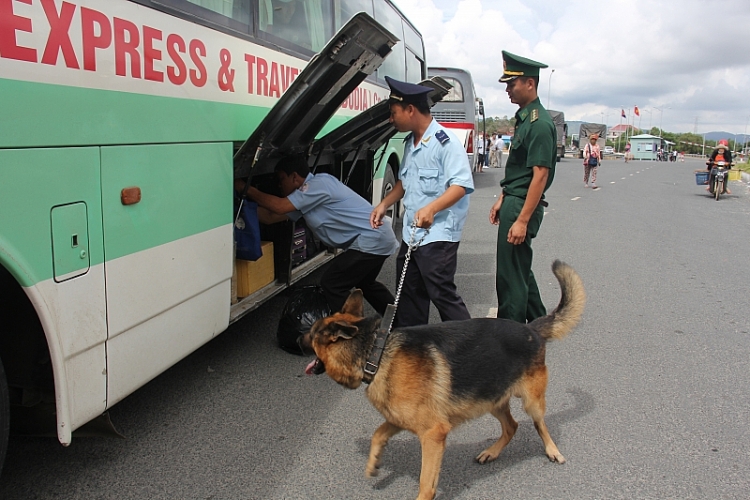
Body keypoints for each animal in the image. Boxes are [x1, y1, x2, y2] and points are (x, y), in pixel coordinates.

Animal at [302, 260, 588, 498]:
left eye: (312, 334)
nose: (298, 336)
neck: (376, 352)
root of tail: (531, 328)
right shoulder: (399, 420)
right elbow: (377, 434)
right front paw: (374, 463)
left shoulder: (433, 435)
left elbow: (426, 482)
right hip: (491, 399)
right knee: (512, 426)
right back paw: (491, 452)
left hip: (531, 401)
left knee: (540, 425)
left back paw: (552, 450)